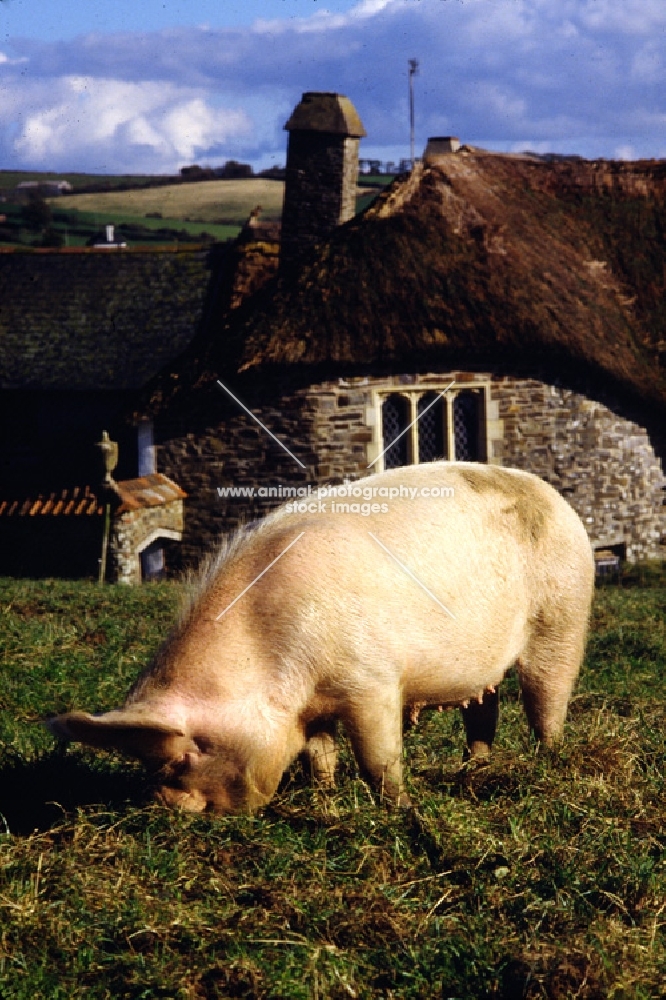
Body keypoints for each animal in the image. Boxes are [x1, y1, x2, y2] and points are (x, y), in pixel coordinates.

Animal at [49, 460, 592, 812]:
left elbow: (379, 756)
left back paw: (547, 761)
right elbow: (319, 754)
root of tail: (557, 499)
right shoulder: (309, 707)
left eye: (183, 758)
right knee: (484, 710)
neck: (266, 659)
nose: (164, 804)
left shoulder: (371, 681)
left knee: (547, 700)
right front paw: (324, 798)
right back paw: (472, 771)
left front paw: (400, 809)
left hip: (563, 617)